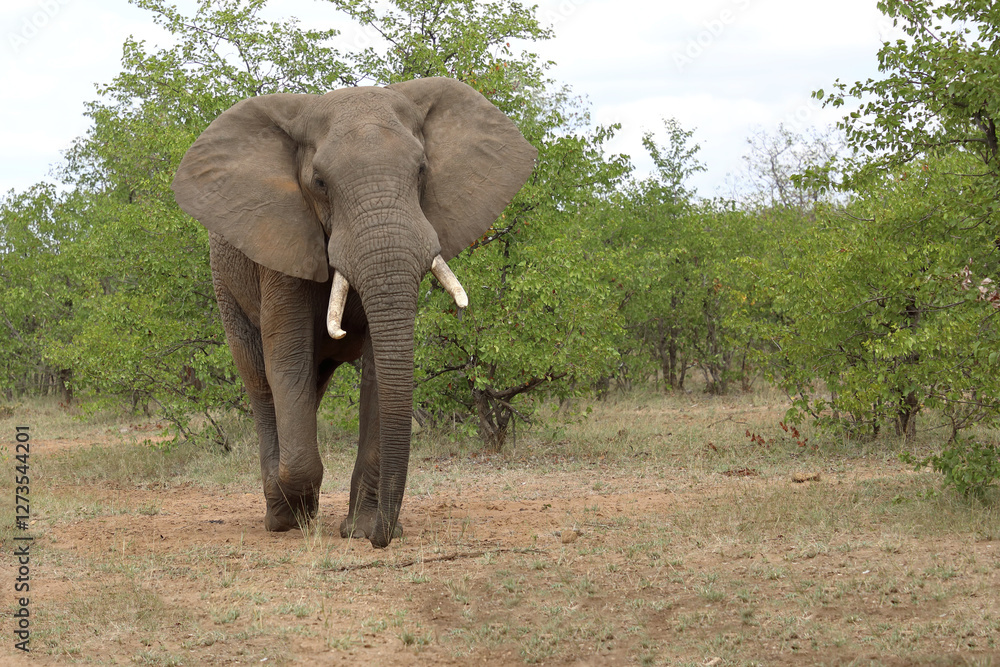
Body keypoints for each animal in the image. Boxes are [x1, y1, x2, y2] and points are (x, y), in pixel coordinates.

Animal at [171, 77, 536, 548]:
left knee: (312, 382)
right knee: (260, 380)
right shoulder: (282, 244)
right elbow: (287, 359)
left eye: (422, 171)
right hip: (226, 286)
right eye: (320, 182)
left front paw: (360, 530)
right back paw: (280, 514)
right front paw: (296, 516)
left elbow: (381, 369)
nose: (387, 534)